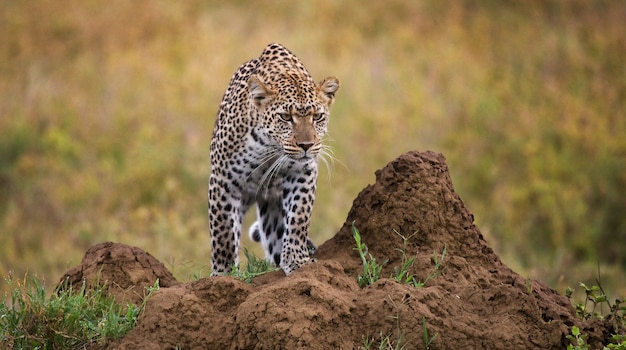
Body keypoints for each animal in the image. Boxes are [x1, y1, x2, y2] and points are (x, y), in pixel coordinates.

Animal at [208, 42, 336, 274]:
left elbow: (299, 217)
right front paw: (223, 274)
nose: (306, 145)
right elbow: (223, 234)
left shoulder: (302, 173)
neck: (271, 149)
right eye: (285, 117)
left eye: (318, 116)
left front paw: (297, 260)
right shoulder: (223, 181)